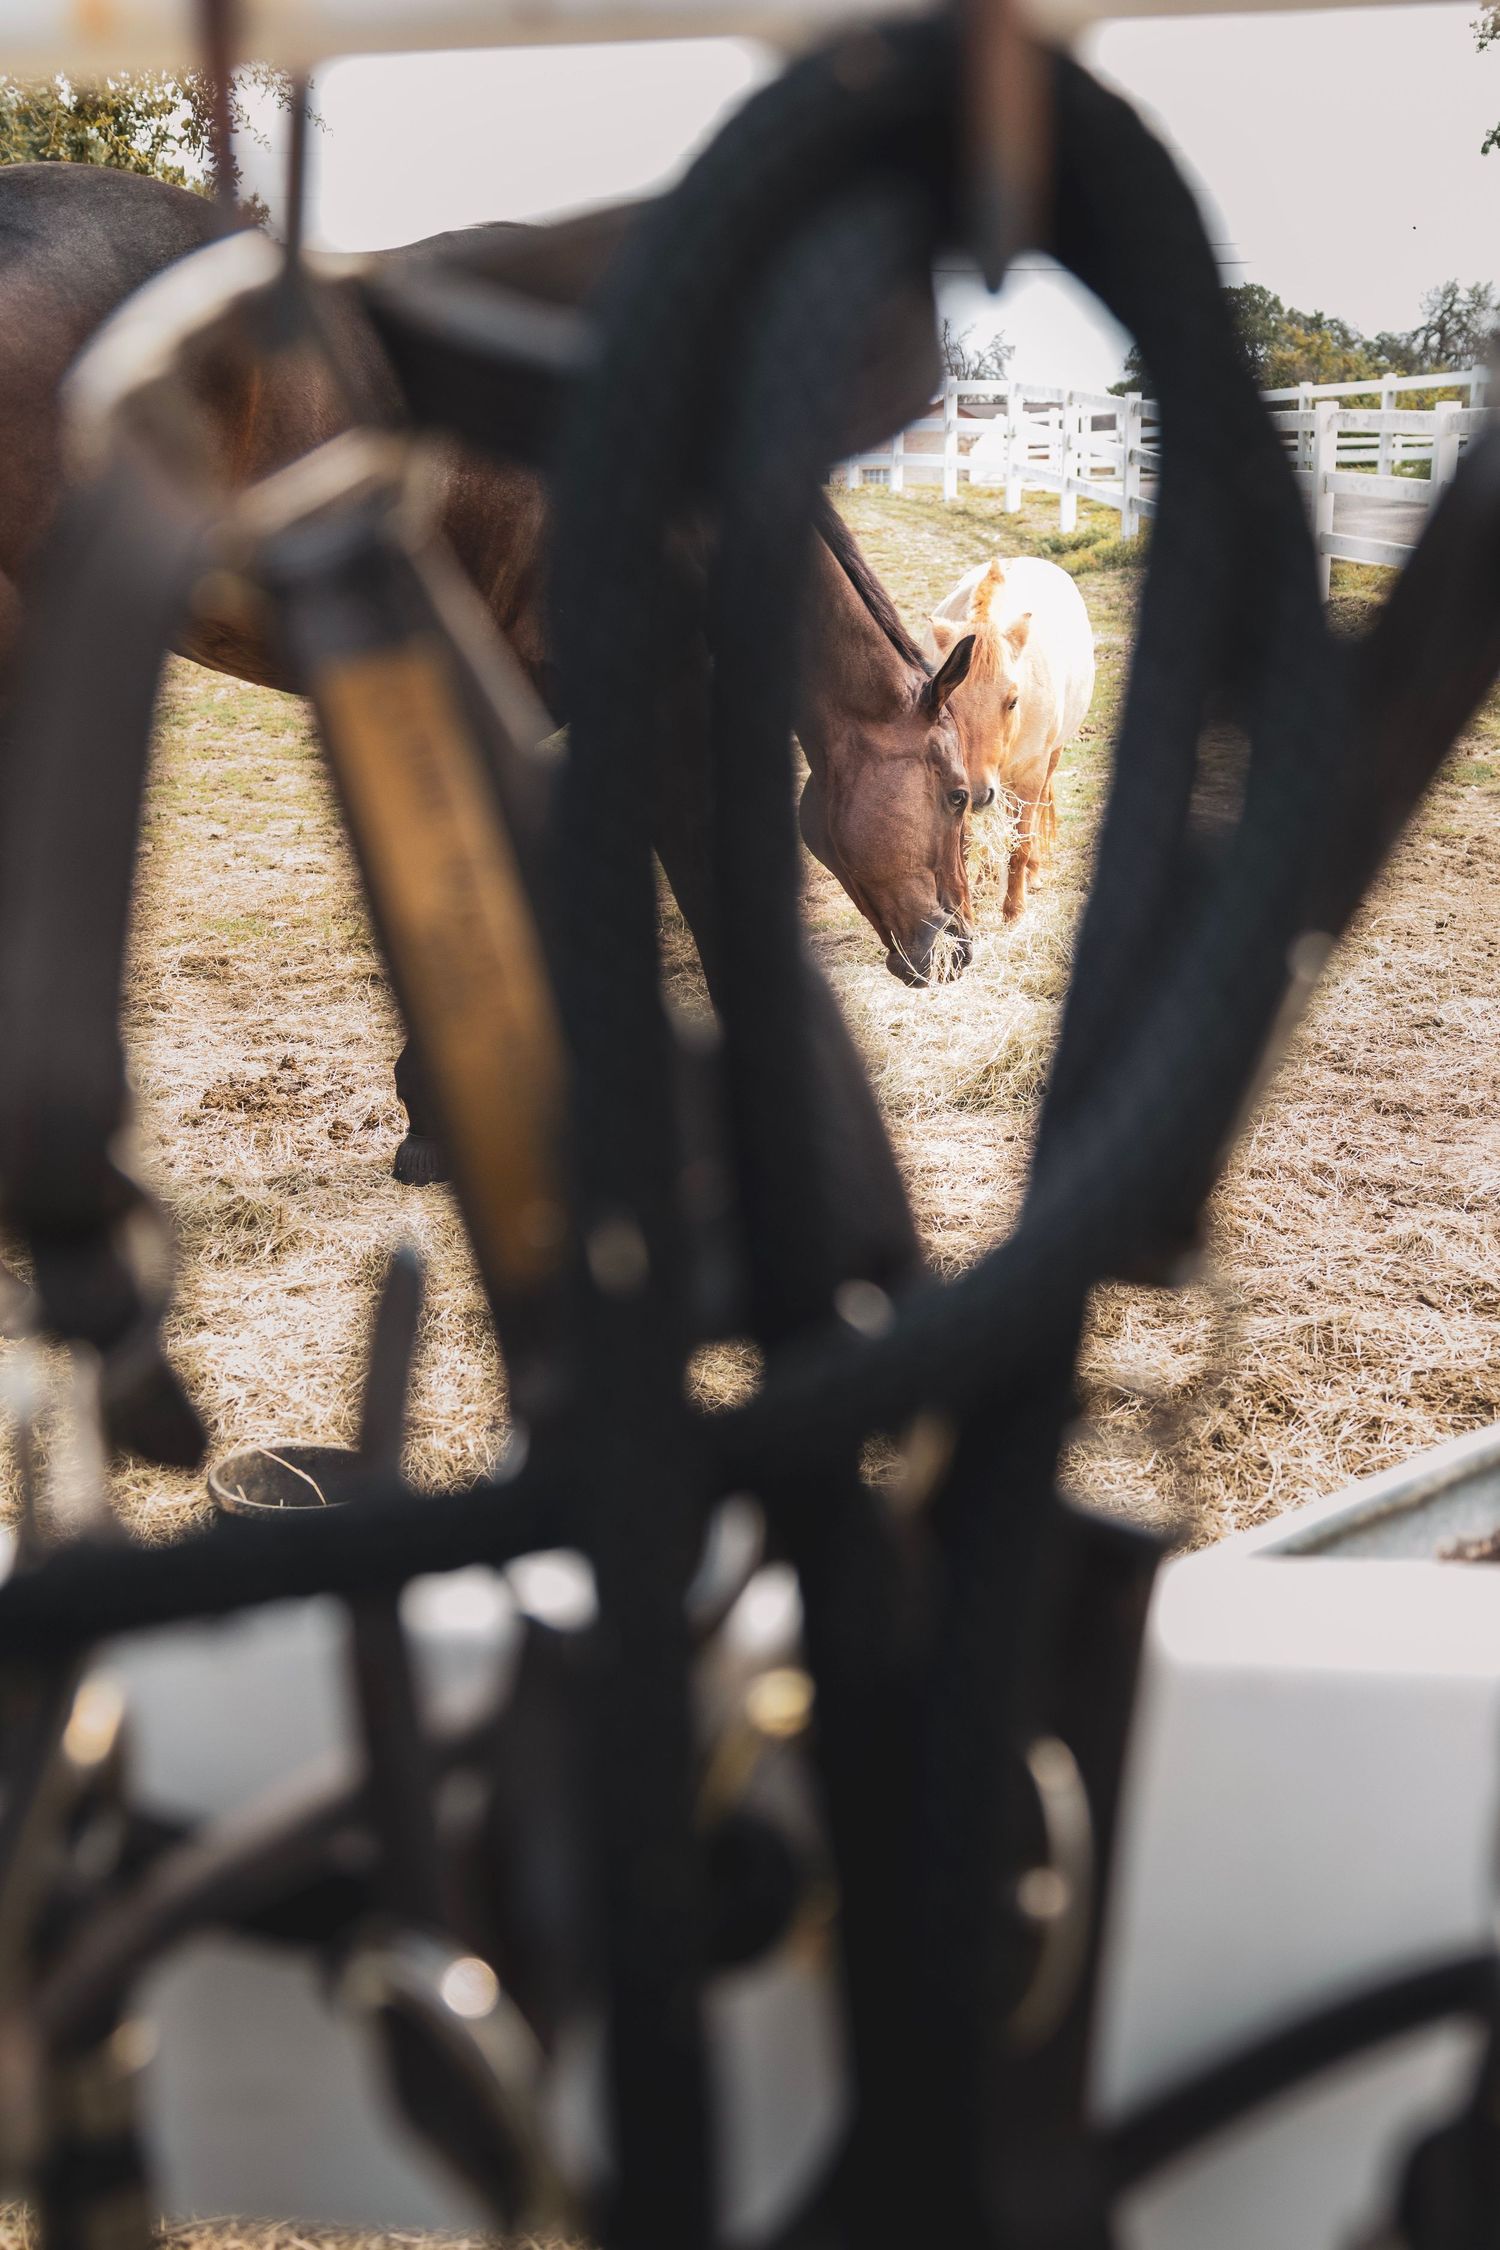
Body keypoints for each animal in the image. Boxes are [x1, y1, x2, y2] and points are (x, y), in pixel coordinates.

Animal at [926, 555, 1095, 924]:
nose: (976, 793)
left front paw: (1014, 912)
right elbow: (963, 845)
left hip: (1047, 760)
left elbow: (1021, 842)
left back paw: (1031, 874)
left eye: (1013, 701)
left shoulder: (1030, 773)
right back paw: (987, 880)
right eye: (947, 702)